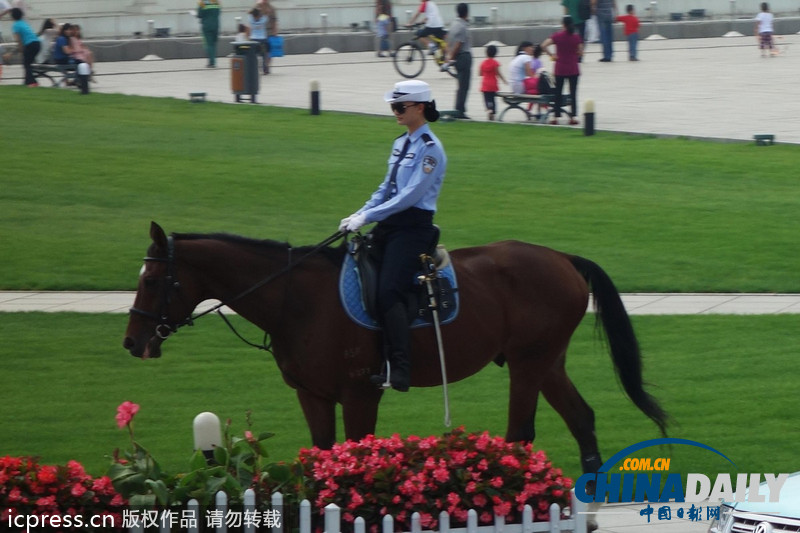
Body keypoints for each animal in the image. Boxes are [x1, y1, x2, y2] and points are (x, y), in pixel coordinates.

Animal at [122, 222, 664, 476]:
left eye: (151, 280)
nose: (132, 342)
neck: (299, 299)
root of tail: (562, 258)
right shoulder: (312, 395)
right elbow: (323, 452)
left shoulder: (360, 393)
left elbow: (356, 449)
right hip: (547, 362)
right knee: (581, 418)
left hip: (529, 364)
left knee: (520, 434)